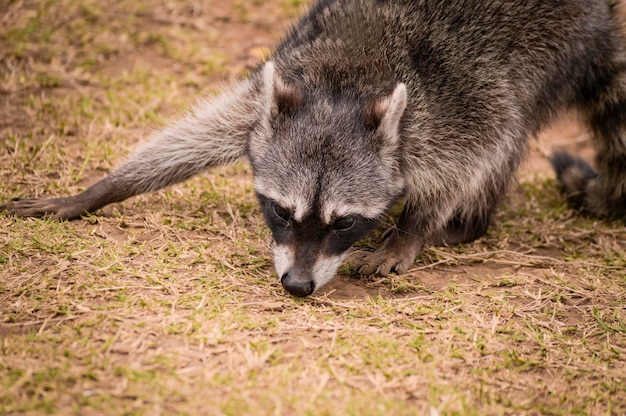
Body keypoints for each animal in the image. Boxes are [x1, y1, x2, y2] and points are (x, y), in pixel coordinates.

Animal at [4, 0, 624, 300]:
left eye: (344, 223)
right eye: (281, 211)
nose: (298, 287)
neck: (347, 83)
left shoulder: (459, 102)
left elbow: (481, 145)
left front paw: (413, 229)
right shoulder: (271, 99)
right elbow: (199, 133)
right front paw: (101, 189)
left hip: (551, 49)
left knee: (514, 127)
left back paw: (467, 222)